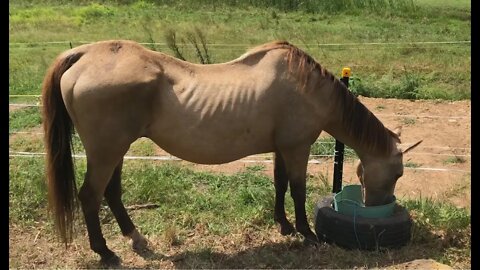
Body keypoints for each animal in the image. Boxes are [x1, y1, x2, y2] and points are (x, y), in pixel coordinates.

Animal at [43, 40, 422, 264]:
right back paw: (105, 252)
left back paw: (135, 239)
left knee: (111, 192)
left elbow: (280, 185)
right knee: (90, 195)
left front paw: (283, 226)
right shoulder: (297, 147)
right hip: (106, 151)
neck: (307, 87)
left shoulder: (280, 149)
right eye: (399, 172)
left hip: (116, 151)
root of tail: (85, 54)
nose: (375, 207)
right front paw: (307, 233)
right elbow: (298, 190)